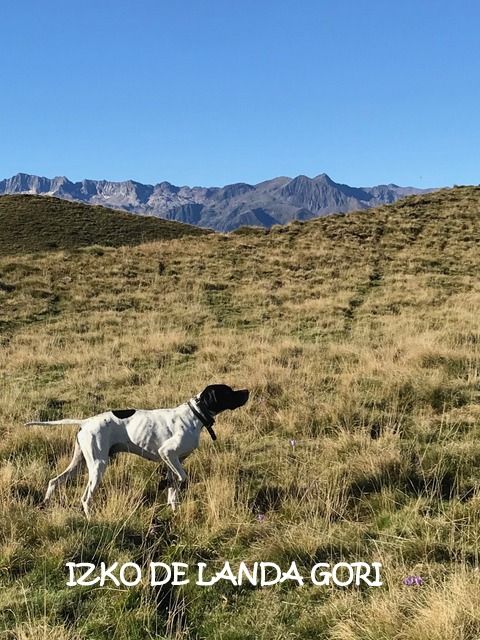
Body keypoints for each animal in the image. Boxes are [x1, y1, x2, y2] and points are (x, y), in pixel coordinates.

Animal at [25, 384, 249, 516]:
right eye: (228, 391)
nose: (247, 391)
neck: (195, 415)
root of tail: (85, 422)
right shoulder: (167, 453)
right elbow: (182, 479)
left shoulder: (173, 461)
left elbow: (173, 487)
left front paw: (173, 508)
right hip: (98, 466)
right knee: (85, 498)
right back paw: (91, 518)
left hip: (79, 464)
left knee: (54, 481)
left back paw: (46, 503)